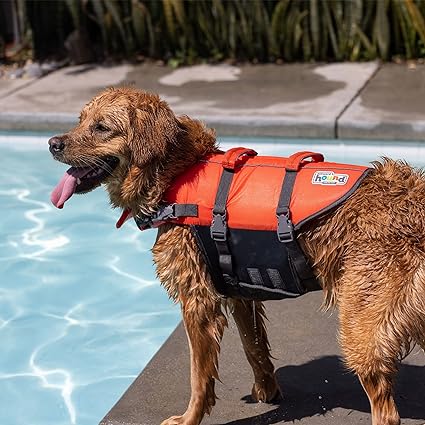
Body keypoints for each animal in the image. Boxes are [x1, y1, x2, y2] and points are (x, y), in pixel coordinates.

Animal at [49, 87, 424, 424]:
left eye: (101, 127)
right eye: (80, 121)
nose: (53, 143)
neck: (175, 173)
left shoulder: (197, 301)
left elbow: (198, 376)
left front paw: (189, 418)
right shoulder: (239, 289)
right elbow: (253, 347)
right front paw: (267, 391)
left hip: (362, 325)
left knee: (386, 409)